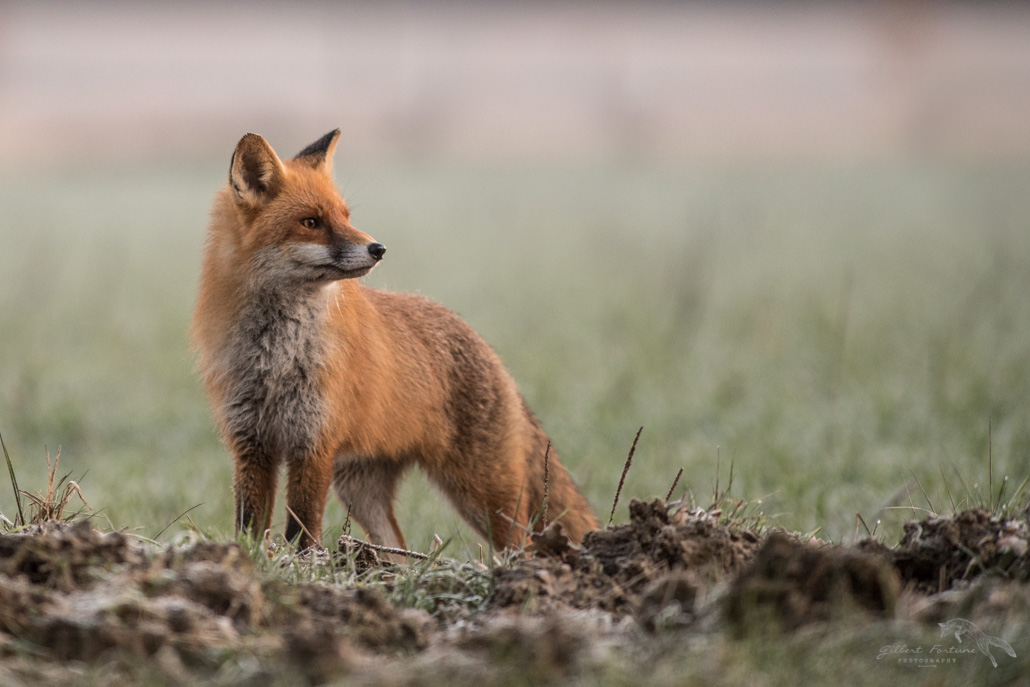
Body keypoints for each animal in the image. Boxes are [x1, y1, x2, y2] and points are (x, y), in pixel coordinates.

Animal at [192, 130, 597, 552]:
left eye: (346, 217)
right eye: (311, 222)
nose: (378, 248)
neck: (276, 356)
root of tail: (481, 341)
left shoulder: (313, 444)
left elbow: (303, 529)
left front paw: (297, 562)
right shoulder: (251, 443)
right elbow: (249, 525)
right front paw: (249, 558)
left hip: (484, 492)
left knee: (521, 545)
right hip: (361, 491)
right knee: (397, 550)